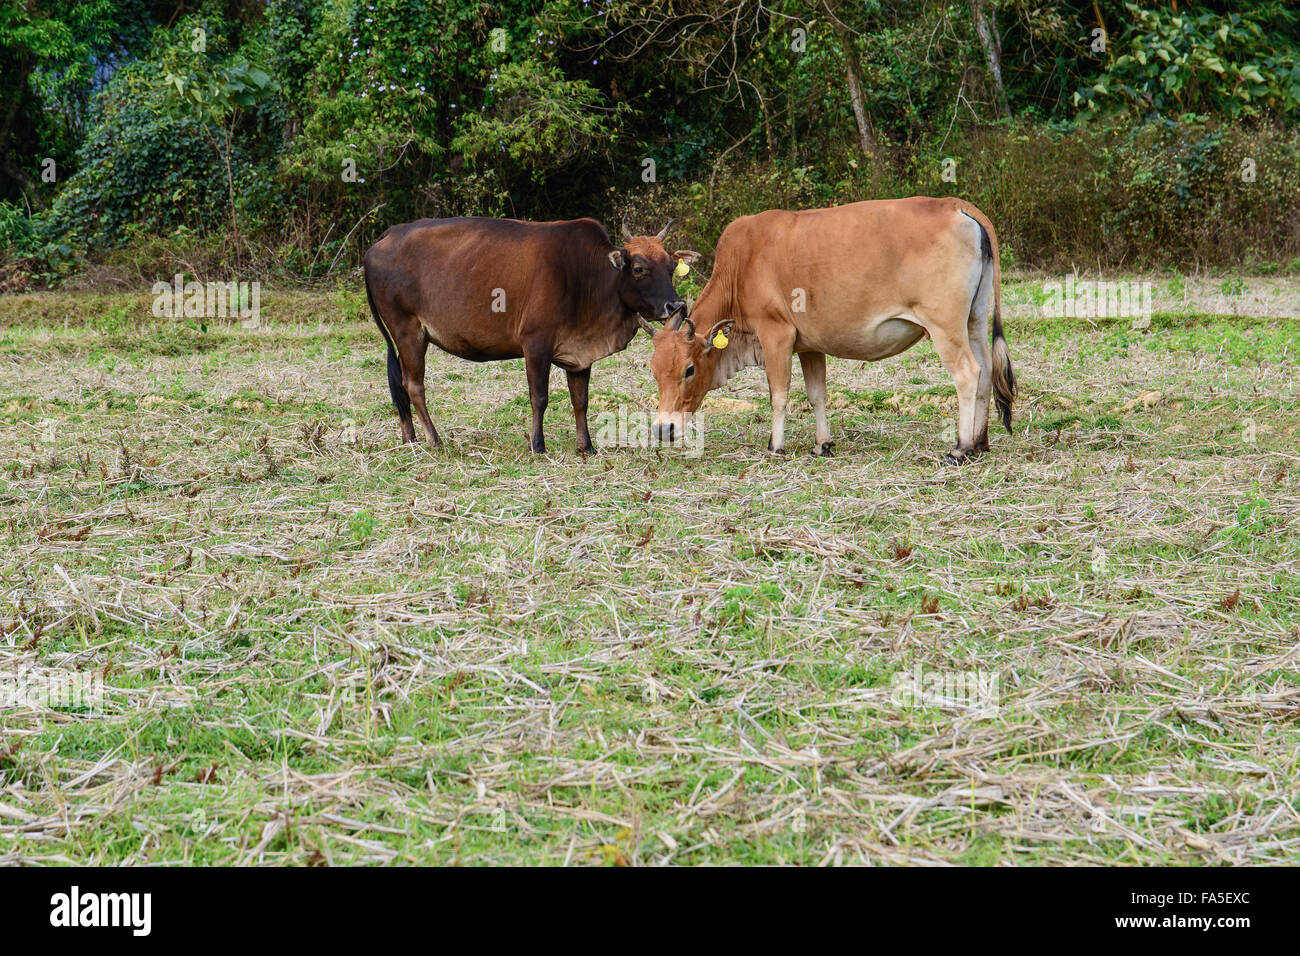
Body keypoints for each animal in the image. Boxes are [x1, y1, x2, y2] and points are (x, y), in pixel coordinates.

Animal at [364, 217, 699, 453]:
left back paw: (410, 439)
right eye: (639, 268)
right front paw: (538, 445)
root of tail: (386, 236)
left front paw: (586, 446)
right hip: (407, 331)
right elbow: (539, 397)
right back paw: (434, 440)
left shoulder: (580, 353)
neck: (589, 276)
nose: (676, 305)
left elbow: (581, 400)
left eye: (672, 265)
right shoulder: (535, 344)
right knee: (413, 386)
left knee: (399, 385)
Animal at [646, 197, 1016, 463]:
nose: (663, 430)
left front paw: (775, 446)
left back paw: (960, 448)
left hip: (944, 325)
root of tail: (955, 204)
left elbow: (778, 394)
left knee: (968, 373)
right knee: (986, 371)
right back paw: (980, 442)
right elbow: (816, 394)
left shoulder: (776, 334)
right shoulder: (810, 345)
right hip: (974, 321)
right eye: (655, 372)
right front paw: (822, 444)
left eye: (689, 369)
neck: (740, 267)